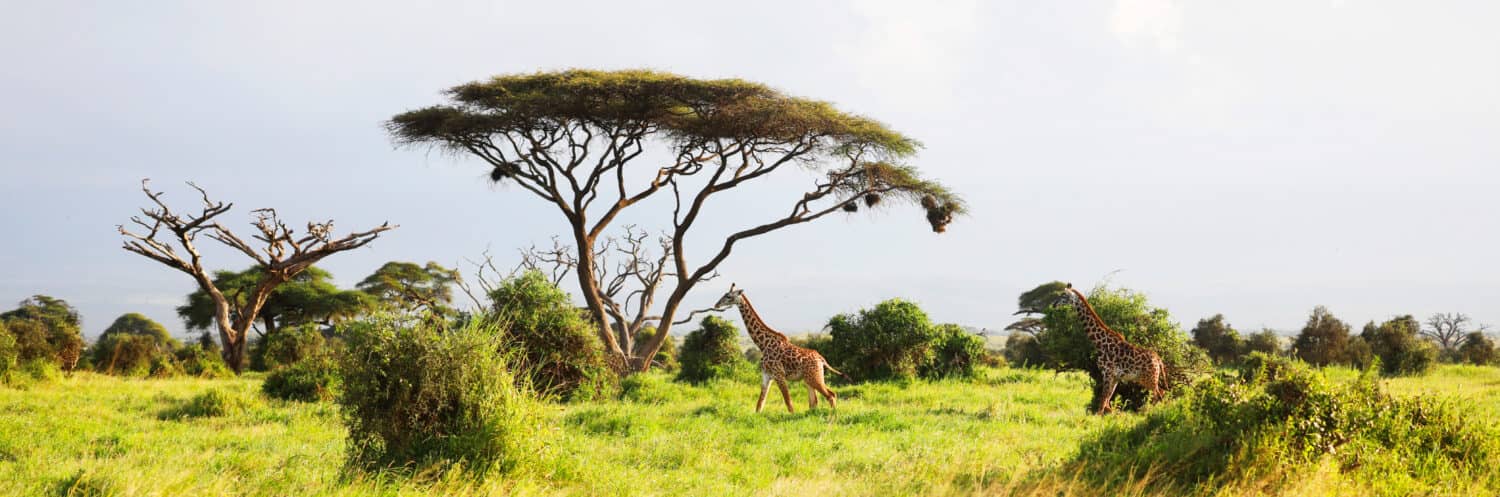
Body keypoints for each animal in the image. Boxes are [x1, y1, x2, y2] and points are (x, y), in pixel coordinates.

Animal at [717, 283, 852, 411]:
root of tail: (821, 359)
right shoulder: (766, 375)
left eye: (728, 296)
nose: (717, 304)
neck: (763, 344)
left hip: (814, 377)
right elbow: (759, 405)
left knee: (831, 395)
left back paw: (832, 417)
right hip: (809, 378)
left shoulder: (779, 374)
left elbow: (789, 403)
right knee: (814, 402)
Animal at [1050, 283, 1164, 417]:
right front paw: (1116, 415)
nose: (1053, 305)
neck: (1100, 343)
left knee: (1159, 394)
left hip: (1148, 378)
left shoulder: (1107, 373)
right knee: (1160, 394)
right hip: (1149, 378)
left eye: (1064, 295)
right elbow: (1107, 402)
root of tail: (1158, 360)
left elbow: (1102, 402)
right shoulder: (1115, 377)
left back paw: (1150, 413)